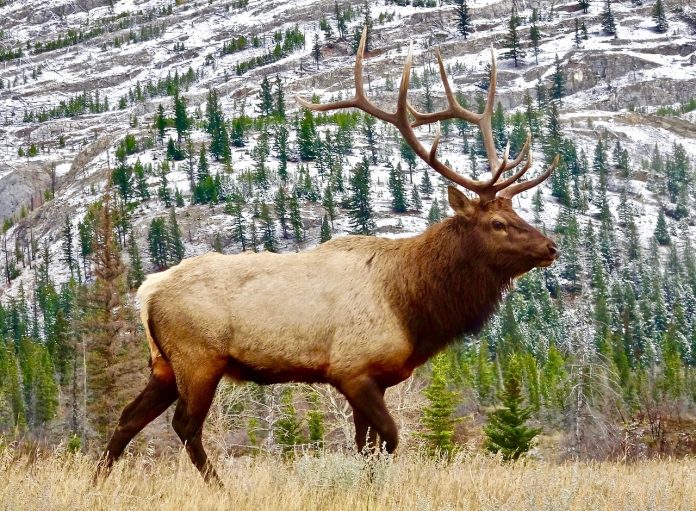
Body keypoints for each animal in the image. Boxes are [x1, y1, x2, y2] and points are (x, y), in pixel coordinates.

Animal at [97, 28, 559, 484]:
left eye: (516, 212)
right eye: (497, 223)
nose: (550, 246)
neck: (412, 306)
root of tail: (147, 291)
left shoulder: (377, 379)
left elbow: (367, 445)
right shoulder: (351, 369)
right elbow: (388, 439)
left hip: (164, 365)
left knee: (128, 418)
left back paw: (99, 479)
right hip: (198, 358)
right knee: (184, 426)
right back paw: (219, 487)